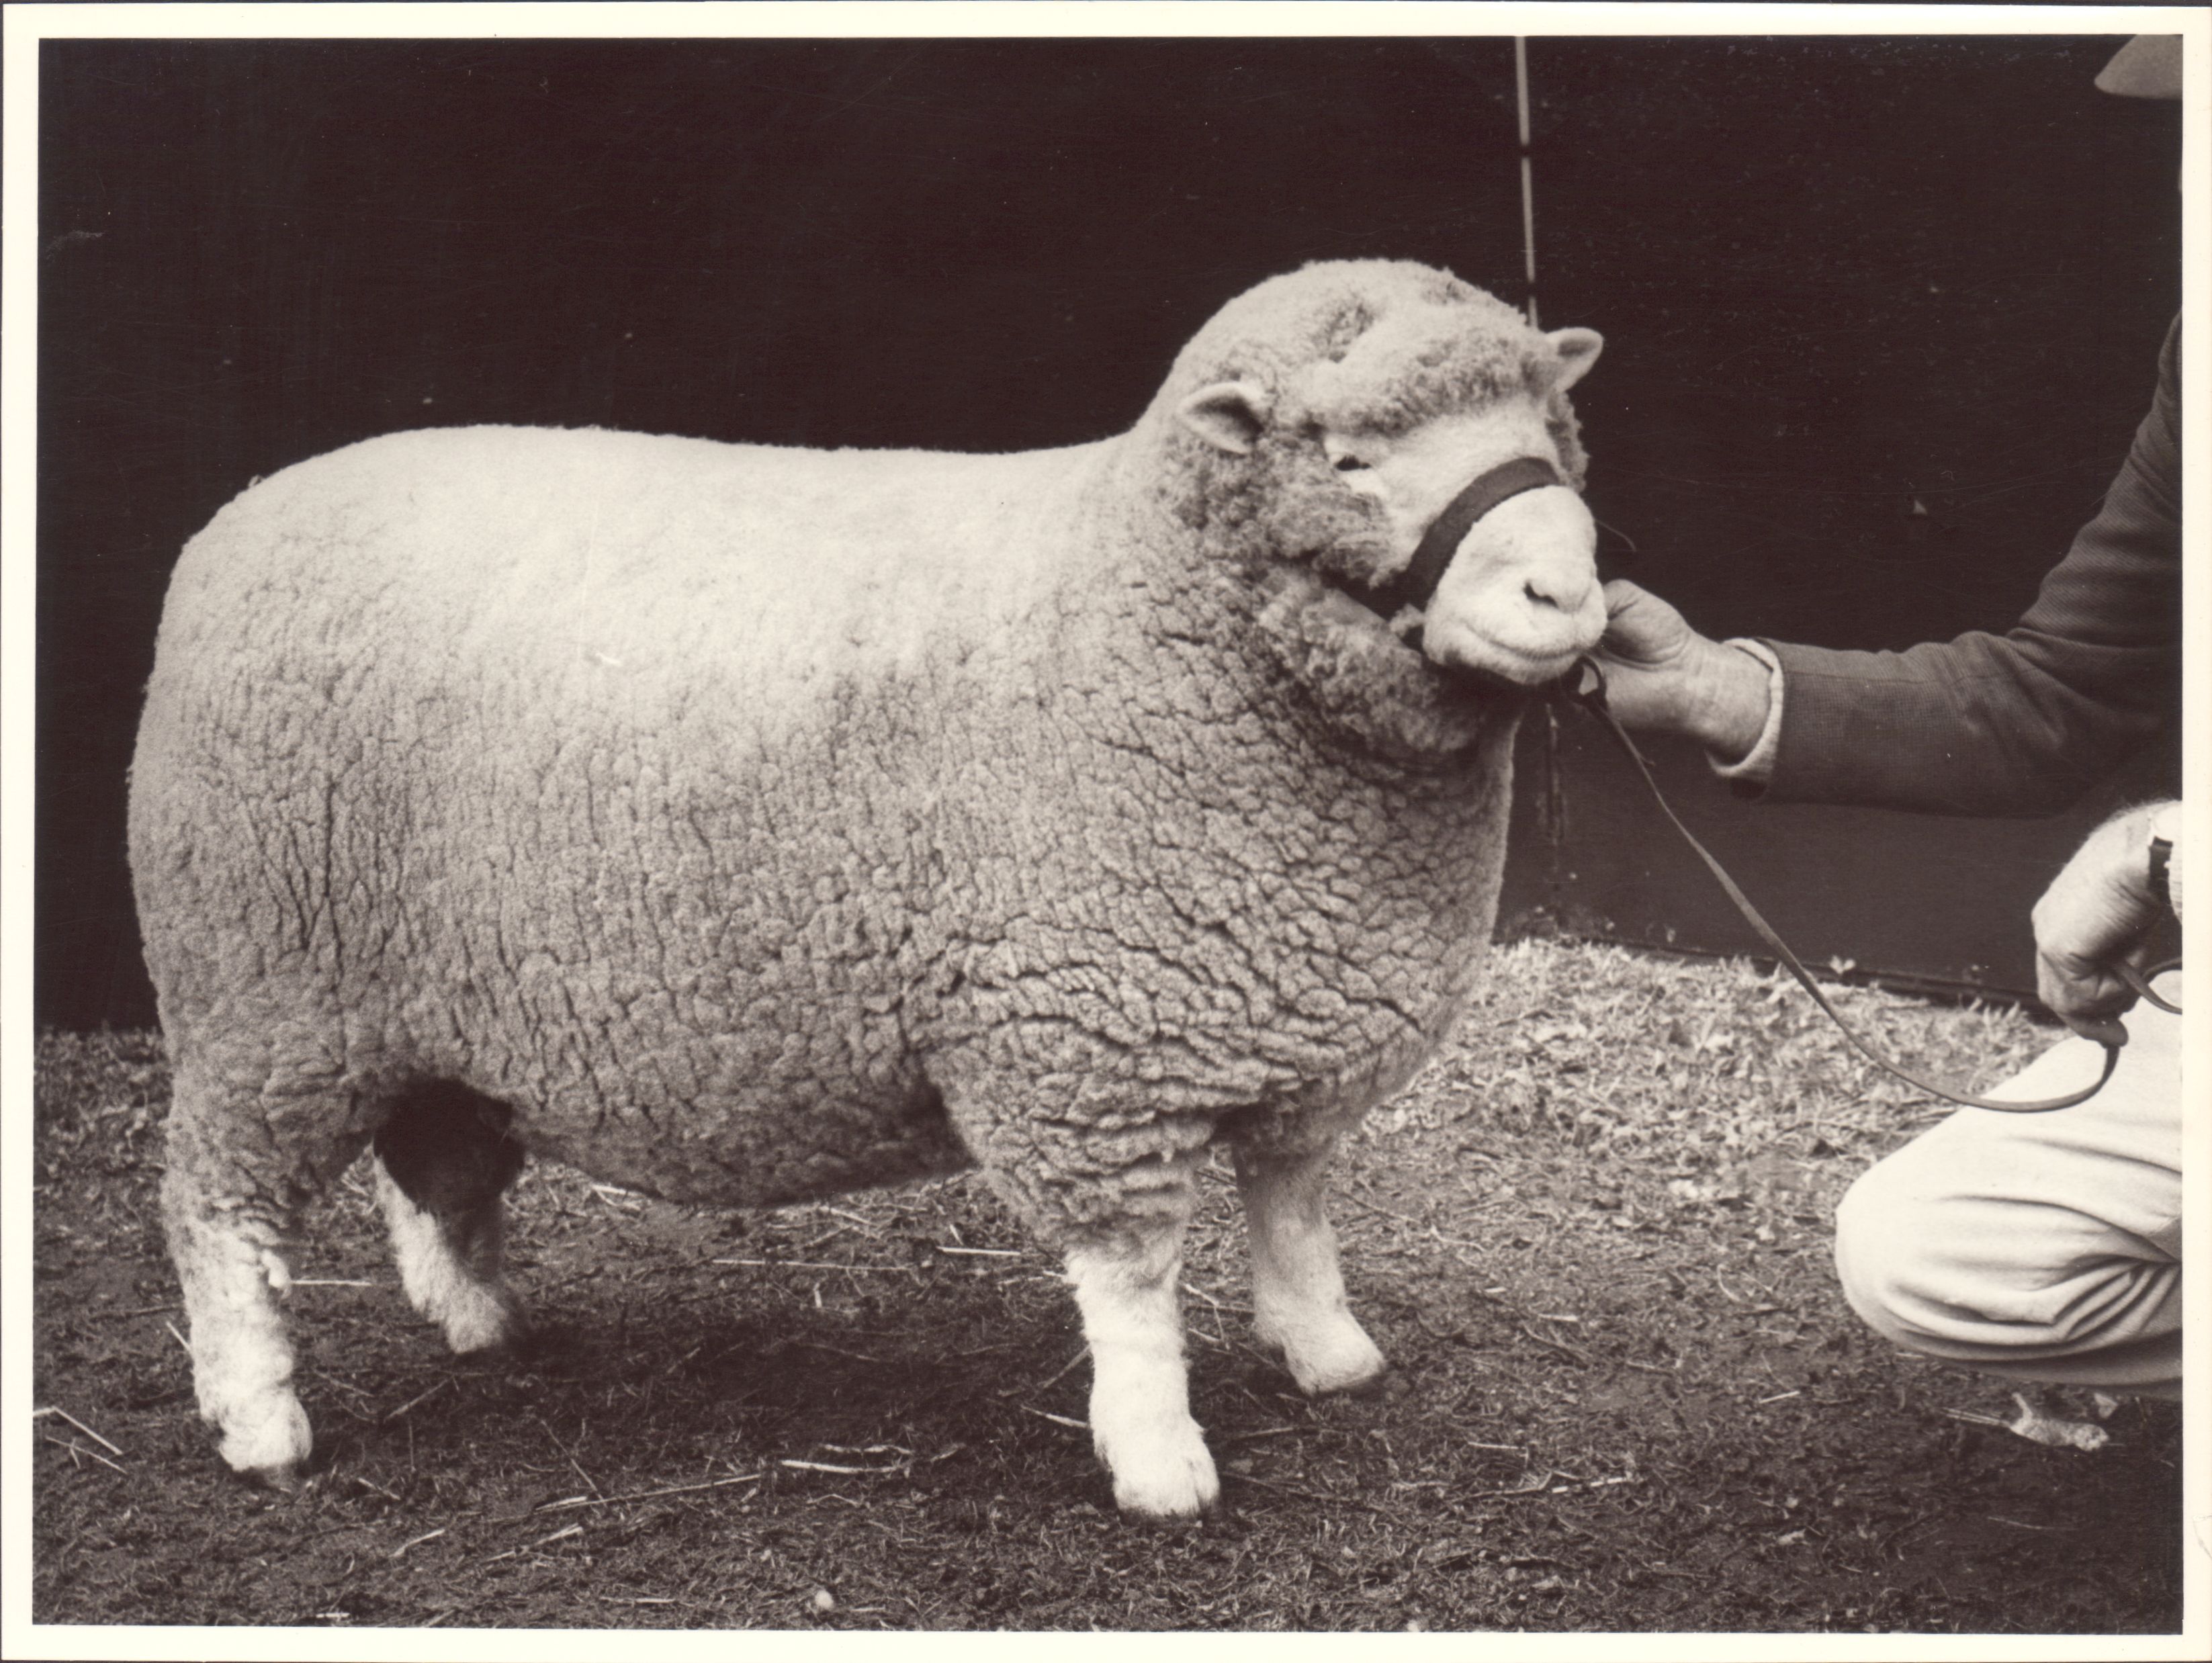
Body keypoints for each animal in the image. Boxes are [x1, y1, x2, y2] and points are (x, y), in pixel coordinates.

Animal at [130, 258, 1607, 1519]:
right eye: (1348, 461)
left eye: (1550, 427)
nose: (1565, 592)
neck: (1137, 599)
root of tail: (233, 519)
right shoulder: (1079, 1048)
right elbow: (1132, 1284)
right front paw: (1158, 1457)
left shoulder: (1288, 1024)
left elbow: (1292, 1209)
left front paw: (1327, 1351)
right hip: (262, 995)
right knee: (216, 1210)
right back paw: (260, 1417)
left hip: (428, 1006)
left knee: (433, 1160)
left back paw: (473, 1315)